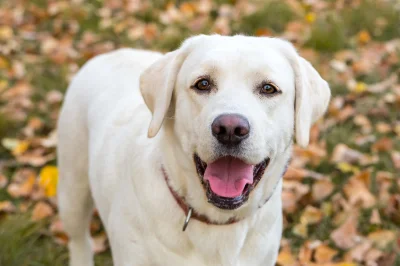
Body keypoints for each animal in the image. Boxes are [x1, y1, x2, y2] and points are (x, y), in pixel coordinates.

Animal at [57, 34, 332, 264]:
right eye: (203, 84)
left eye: (268, 88)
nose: (230, 129)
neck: (217, 223)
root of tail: (109, 54)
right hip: (72, 190)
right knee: (79, 239)